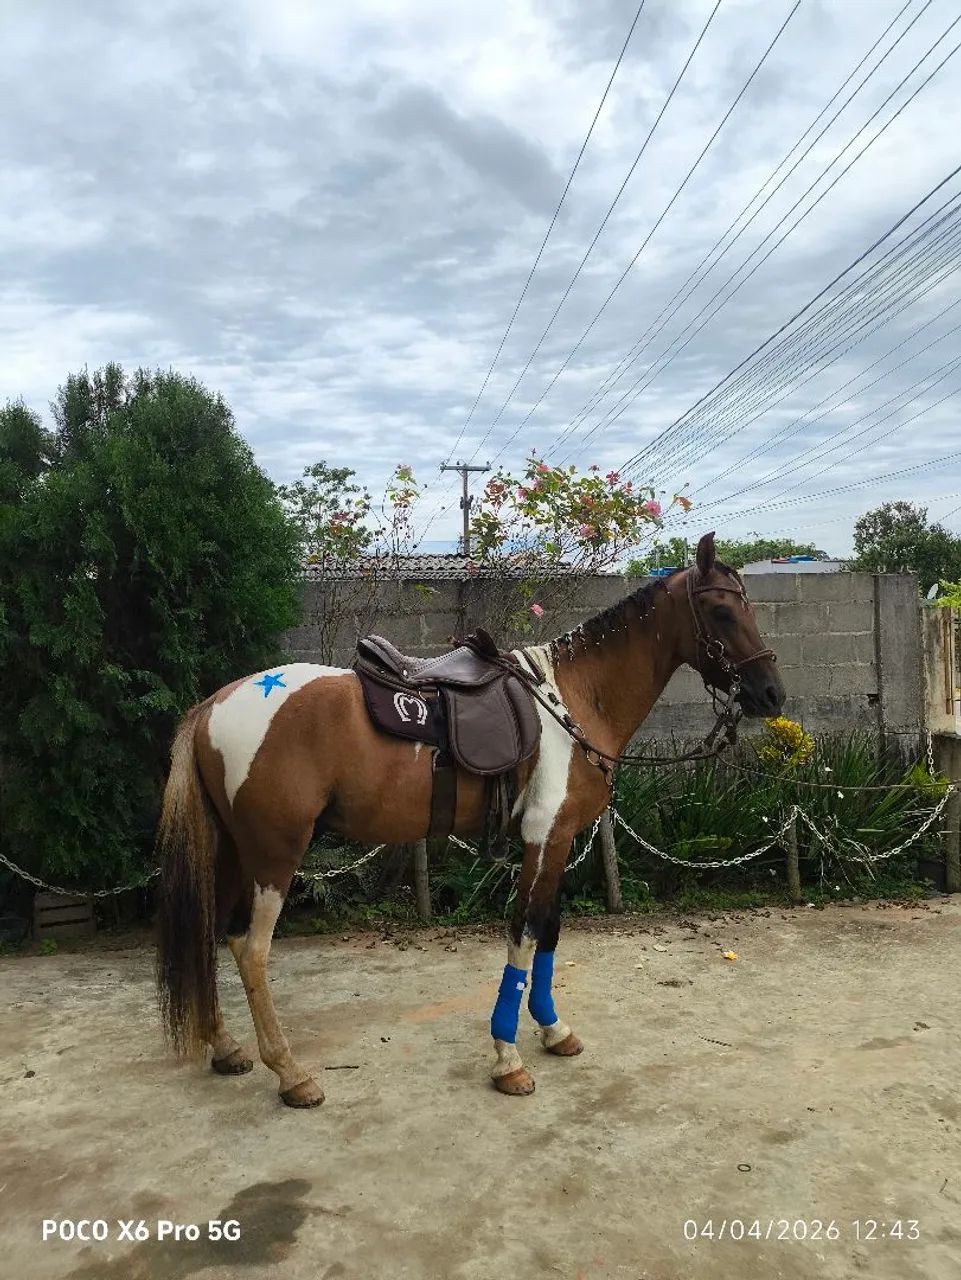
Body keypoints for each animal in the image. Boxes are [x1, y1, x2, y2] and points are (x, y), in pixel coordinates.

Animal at [156, 531, 785, 1108]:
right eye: (722, 611)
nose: (772, 694)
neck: (573, 700)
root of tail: (212, 705)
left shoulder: (561, 841)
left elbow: (549, 929)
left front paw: (553, 1030)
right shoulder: (544, 837)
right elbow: (524, 932)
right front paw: (508, 1058)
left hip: (233, 852)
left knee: (217, 933)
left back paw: (227, 1048)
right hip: (275, 855)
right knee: (252, 950)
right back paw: (291, 1074)